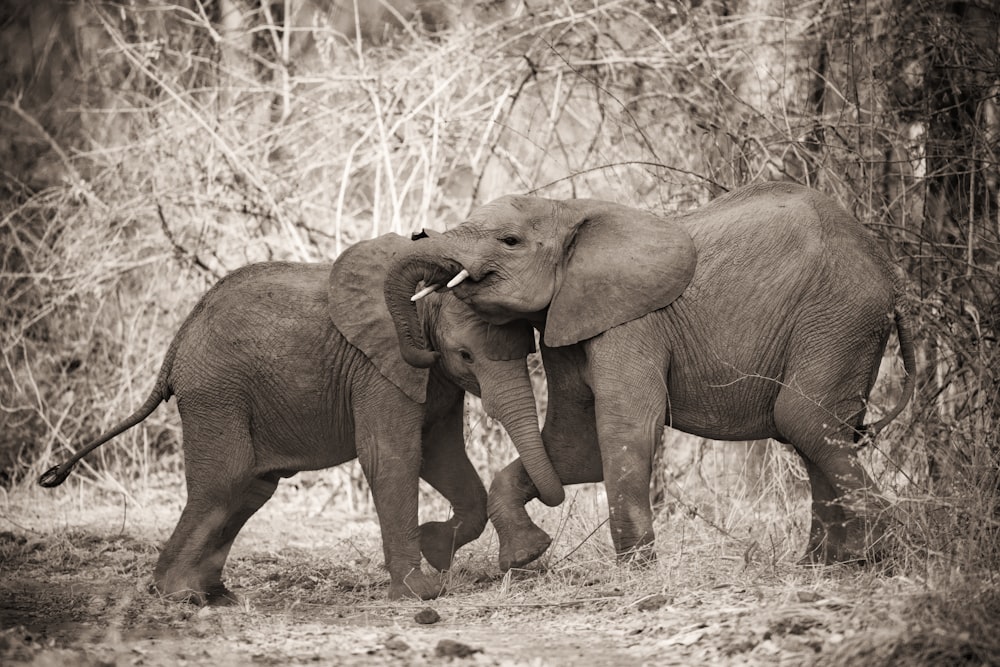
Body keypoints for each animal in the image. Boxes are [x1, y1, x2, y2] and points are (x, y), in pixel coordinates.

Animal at [37, 234, 564, 604]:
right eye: (465, 355)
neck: (417, 303)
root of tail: (174, 350)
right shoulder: (379, 368)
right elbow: (393, 458)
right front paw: (422, 591)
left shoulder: (430, 380)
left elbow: (442, 455)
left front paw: (438, 546)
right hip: (216, 394)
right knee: (224, 482)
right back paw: (180, 596)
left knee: (251, 489)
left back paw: (215, 596)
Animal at [386, 183, 916, 576]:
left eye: (509, 241)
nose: (417, 233)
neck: (567, 208)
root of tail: (892, 278)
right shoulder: (569, 318)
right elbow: (574, 447)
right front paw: (525, 556)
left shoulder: (631, 321)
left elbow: (623, 428)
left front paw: (635, 570)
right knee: (815, 432)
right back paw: (824, 566)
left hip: (838, 317)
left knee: (802, 418)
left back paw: (879, 554)